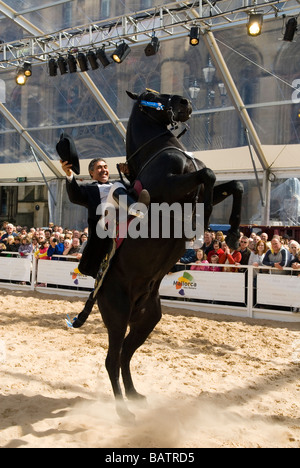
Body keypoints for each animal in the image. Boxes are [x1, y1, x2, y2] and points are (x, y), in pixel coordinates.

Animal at [92, 89, 243, 418]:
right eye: (151, 95)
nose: (186, 102)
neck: (161, 151)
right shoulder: (172, 189)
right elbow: (209, 175)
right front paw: (205, 214)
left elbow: (234, 183)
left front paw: (234, 233)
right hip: (117, 317)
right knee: (112, 359)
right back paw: (123, 411)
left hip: (147, 319)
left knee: (125, 355)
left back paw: (134, 395)